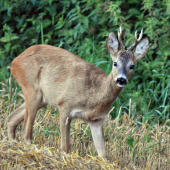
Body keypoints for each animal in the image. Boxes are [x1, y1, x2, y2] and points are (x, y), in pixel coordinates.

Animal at [7, 27, 149, 158]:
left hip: (42, 99)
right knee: (25, 133)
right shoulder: (65, 105)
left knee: (11, 118)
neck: (95, 94)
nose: (121, 79)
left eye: (132, 66)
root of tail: (14, 61)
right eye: (115, 63)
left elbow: (103, 154)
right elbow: (65, 147)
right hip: (31, 89)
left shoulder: (97, 120)